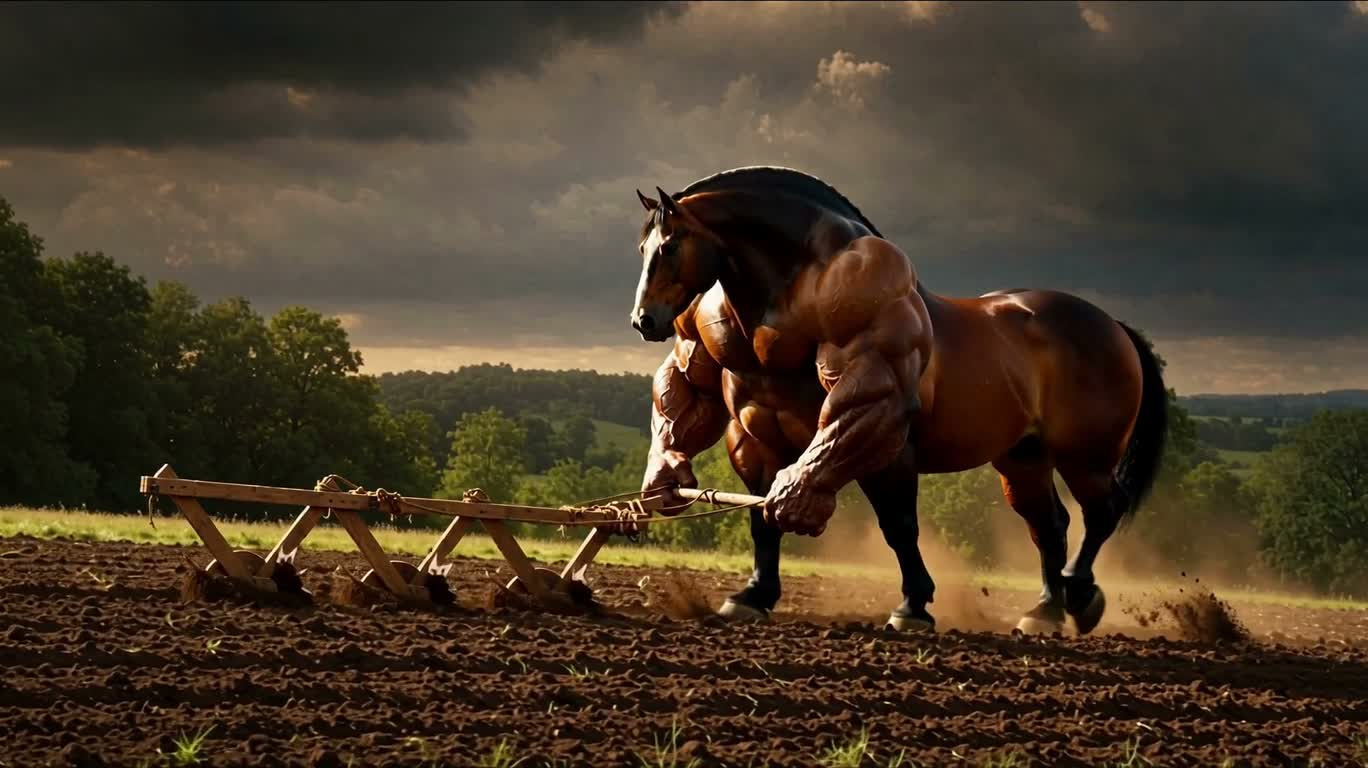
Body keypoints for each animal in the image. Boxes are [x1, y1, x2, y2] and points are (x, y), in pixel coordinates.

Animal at [626, 166, 1169, 636]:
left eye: (670, 246)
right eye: (642, 247)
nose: (643, 320)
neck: (781, 295)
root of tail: (1112, 325)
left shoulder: (886, 440)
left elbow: (898, 525)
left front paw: (912, 607)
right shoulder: (754, 440)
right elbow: (757, 515)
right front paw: (752, 594)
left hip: (1086, 457)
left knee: (1102, 511)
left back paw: (1079, 594)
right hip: (1023, 459)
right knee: (1050, 525)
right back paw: (1045, 611)